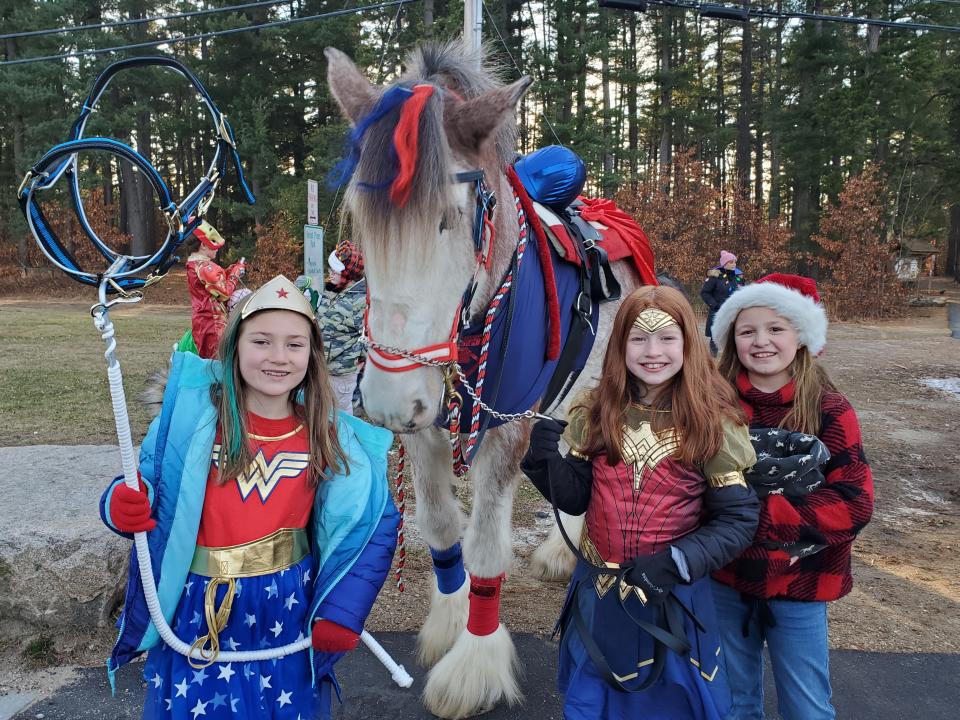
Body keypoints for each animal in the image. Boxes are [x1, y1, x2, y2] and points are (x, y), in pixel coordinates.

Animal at [328, 42, 644, 716]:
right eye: (364, 222)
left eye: (450, 218)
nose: (386, 398)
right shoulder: (424, 425)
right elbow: (441, 525)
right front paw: (449, 621)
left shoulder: (508, 424)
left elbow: (486, 546)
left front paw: (474, 661)